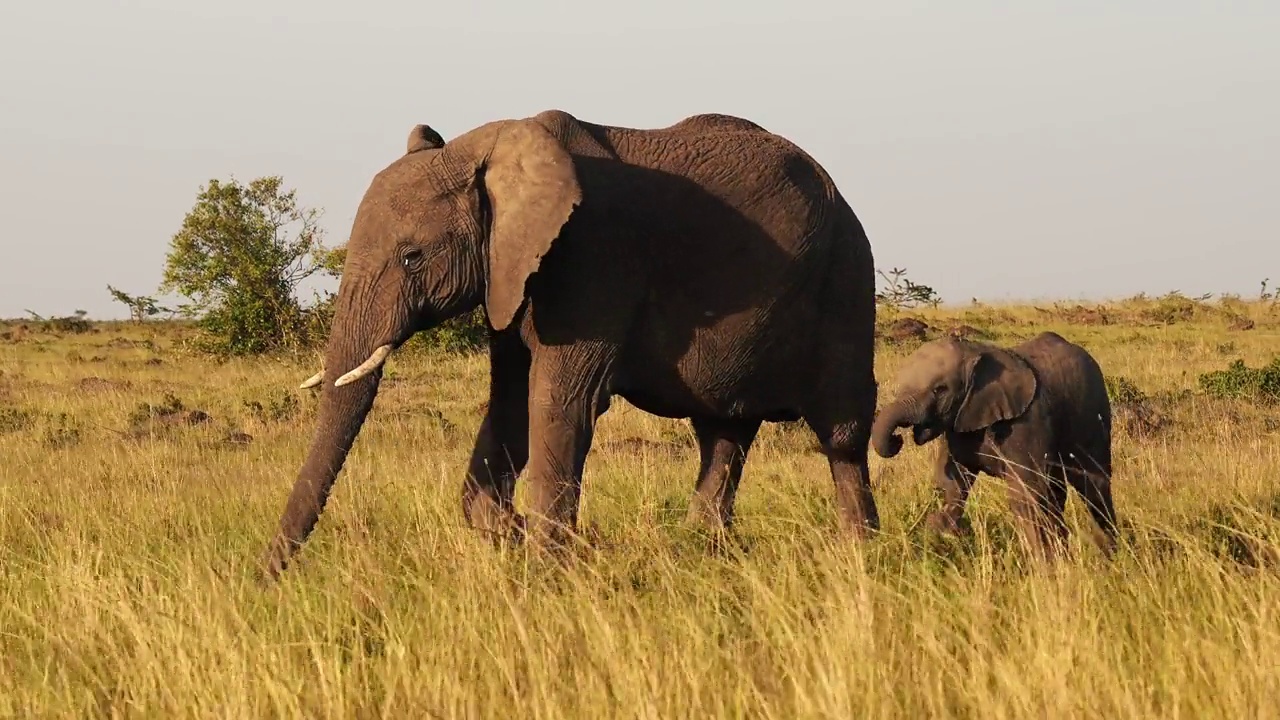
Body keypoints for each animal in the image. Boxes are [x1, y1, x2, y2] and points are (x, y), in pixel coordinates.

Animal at [259, 107, 880, 576]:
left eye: (412, 257)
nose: (264, 583)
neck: (489, 149)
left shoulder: (593, 256)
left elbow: (561, 401)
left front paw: (547, 569)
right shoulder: (511, 272)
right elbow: (510, 401)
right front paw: (510, 533)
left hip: (846, 276)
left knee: (841, 433)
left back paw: (862, 555)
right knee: (724, 432)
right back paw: (702, 552)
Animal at [870, 327, 1121, 558]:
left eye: (940, 390)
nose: (897, 439)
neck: (975, 352)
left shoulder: (1027, 422)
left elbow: (1026, 494)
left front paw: (1046, 567)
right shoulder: (959, 423)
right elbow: (953, 482)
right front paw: (940, 528)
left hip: (1093, 413)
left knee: (1093, 485)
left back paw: (1109, 555)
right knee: (1058, 490)